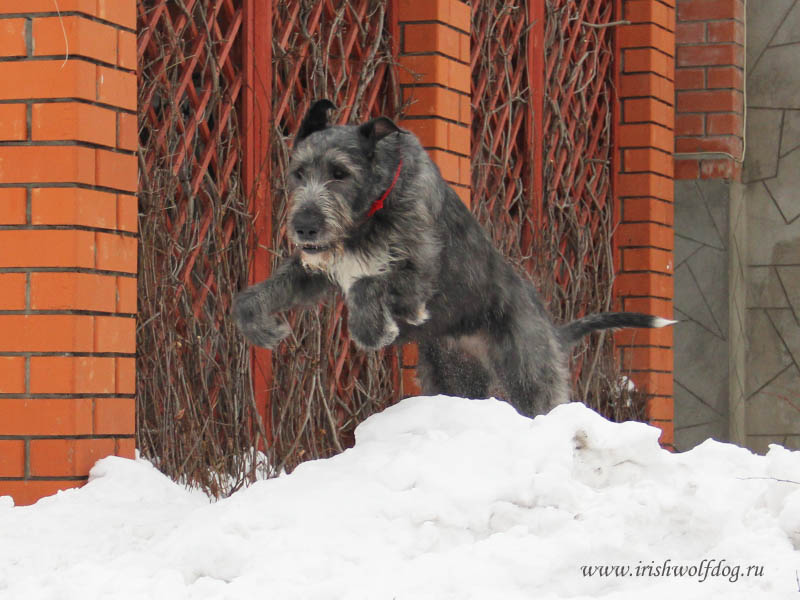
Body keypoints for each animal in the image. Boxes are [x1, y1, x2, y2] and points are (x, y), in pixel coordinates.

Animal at [233, 99, 676, 418]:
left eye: (340, 173)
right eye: (298, 172)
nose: (304, 227)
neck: (373, 208)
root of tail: (551, 328)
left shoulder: (418, 279)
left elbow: (368, 285)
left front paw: (374, 330)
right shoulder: (318, 270)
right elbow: (256, 295)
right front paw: (261, 327)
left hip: (527, 371)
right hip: (451, 374)